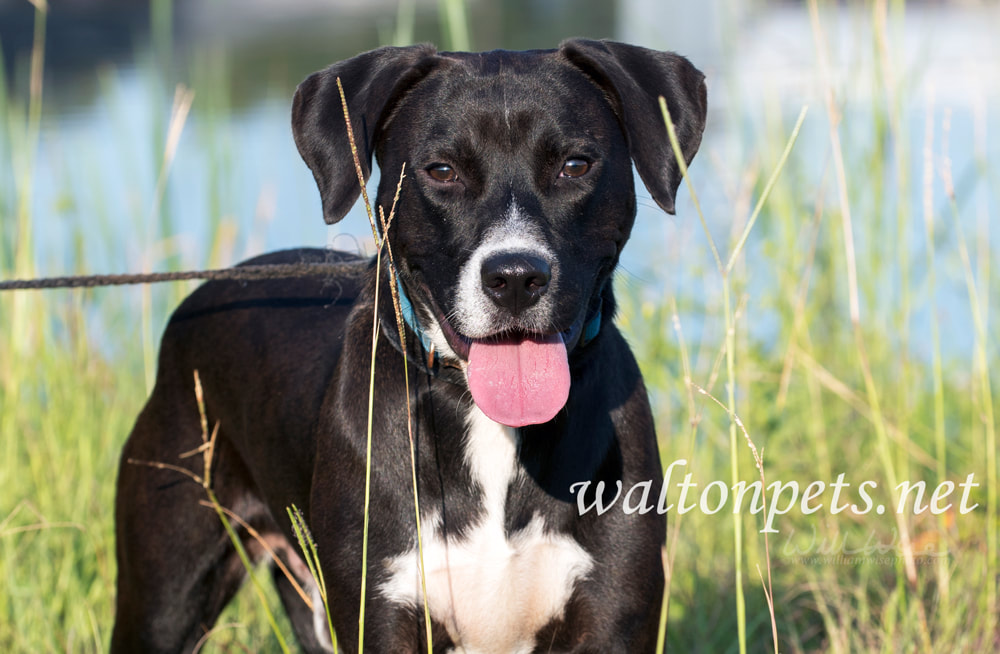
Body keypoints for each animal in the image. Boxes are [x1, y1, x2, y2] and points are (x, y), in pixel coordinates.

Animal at [109, 39, 708, 654]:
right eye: (442, 171)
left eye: (575, 165)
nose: (516, 277)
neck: (481, 415)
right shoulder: (381, 612)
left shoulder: (612, 613)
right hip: (164, 598)